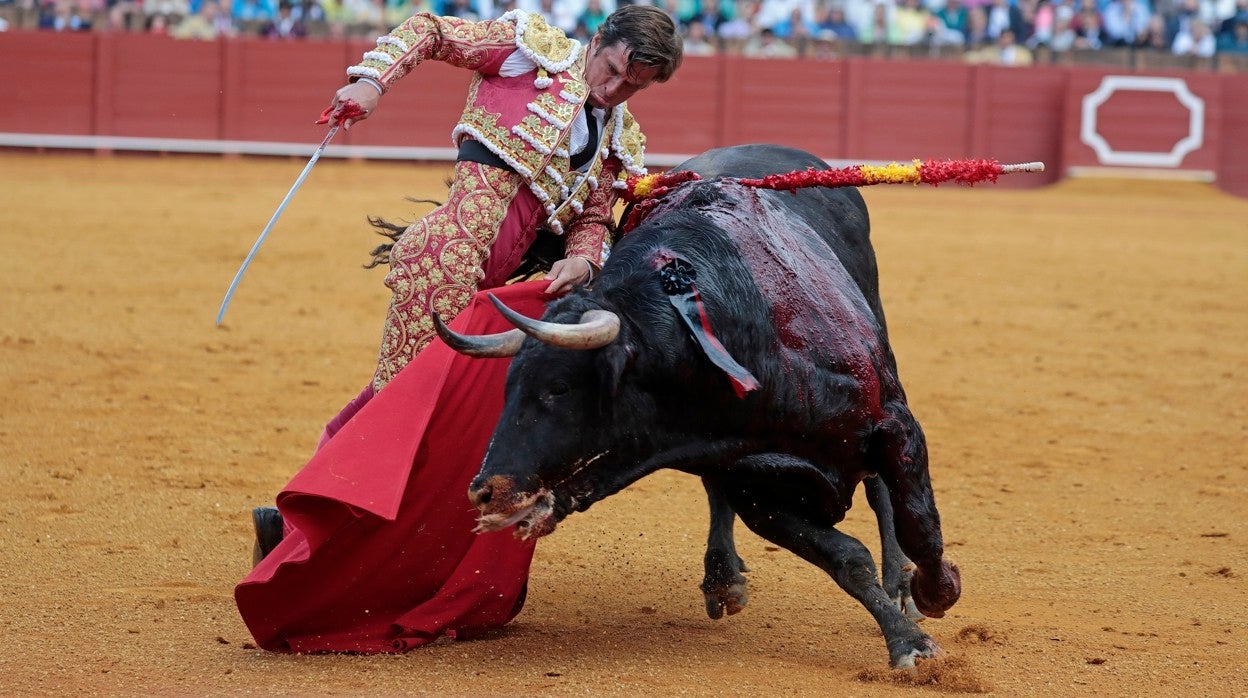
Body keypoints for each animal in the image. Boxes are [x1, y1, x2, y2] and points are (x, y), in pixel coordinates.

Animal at [439, 144, 963, 669]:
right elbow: (847, 558)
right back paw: (721, 580)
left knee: (881, 493)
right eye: (508, 387)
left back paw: (900, 582)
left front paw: (930, 598)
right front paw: (906, 642)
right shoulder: (753, 487)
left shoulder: (895, 425)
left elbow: (919, 525)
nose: (485, 491)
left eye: (559, 387)